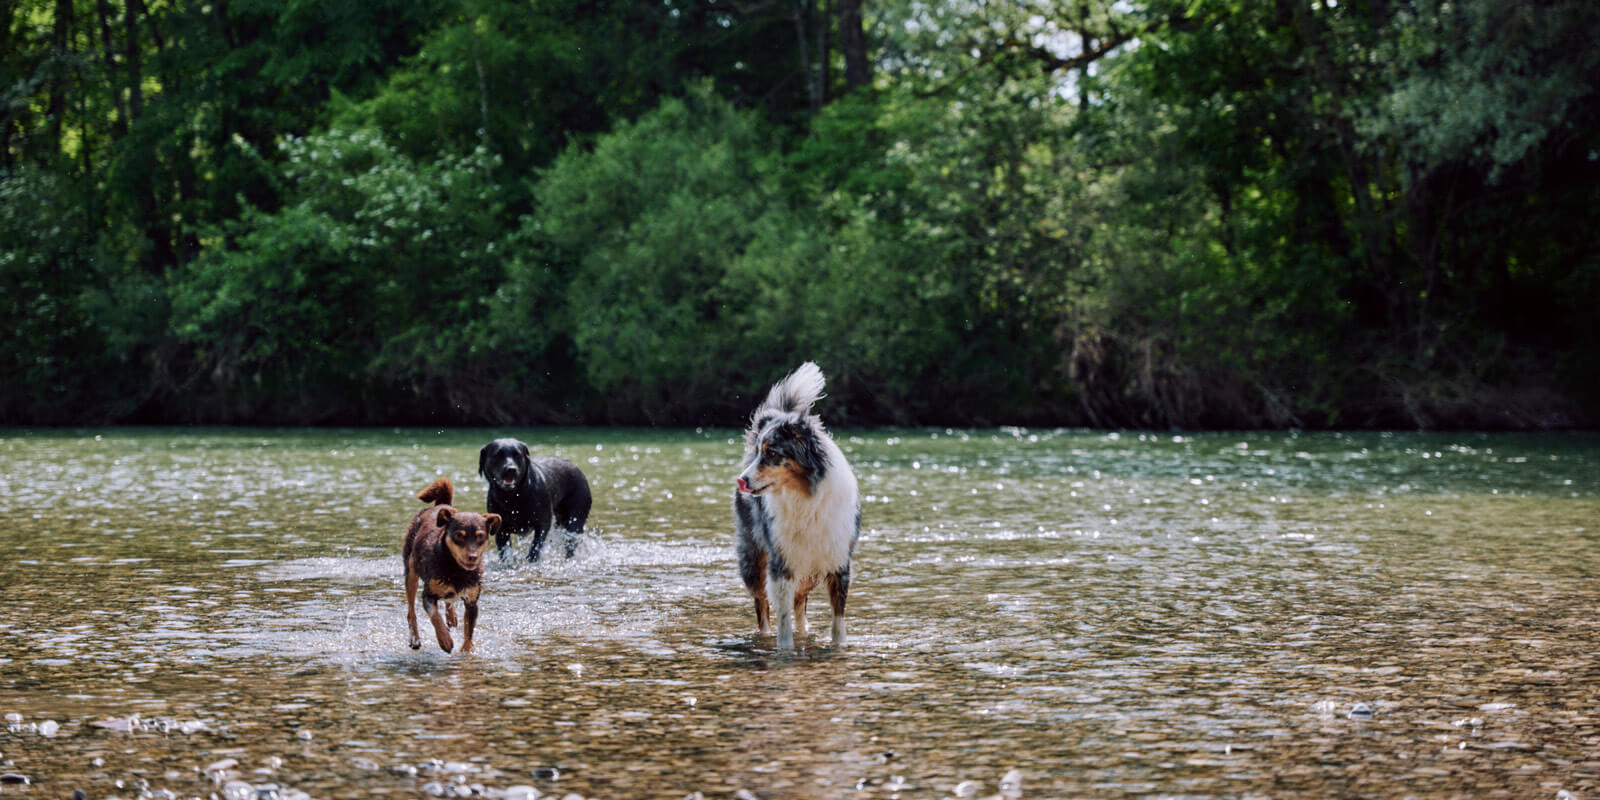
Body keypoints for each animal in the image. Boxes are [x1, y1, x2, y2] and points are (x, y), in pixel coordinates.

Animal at [400, 476, 499, 652]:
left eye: (480, 536)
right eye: (459, 535)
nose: (473, 557)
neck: (456, 569)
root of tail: (440, 506)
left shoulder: (472, 601)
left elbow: (469, 633)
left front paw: (466, 650)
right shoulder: (428, 595)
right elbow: (435, 617)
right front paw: (445, 641)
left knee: (448, 600)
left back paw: (451, 616)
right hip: (410, 571)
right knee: (411, 611)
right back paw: (415, 639)